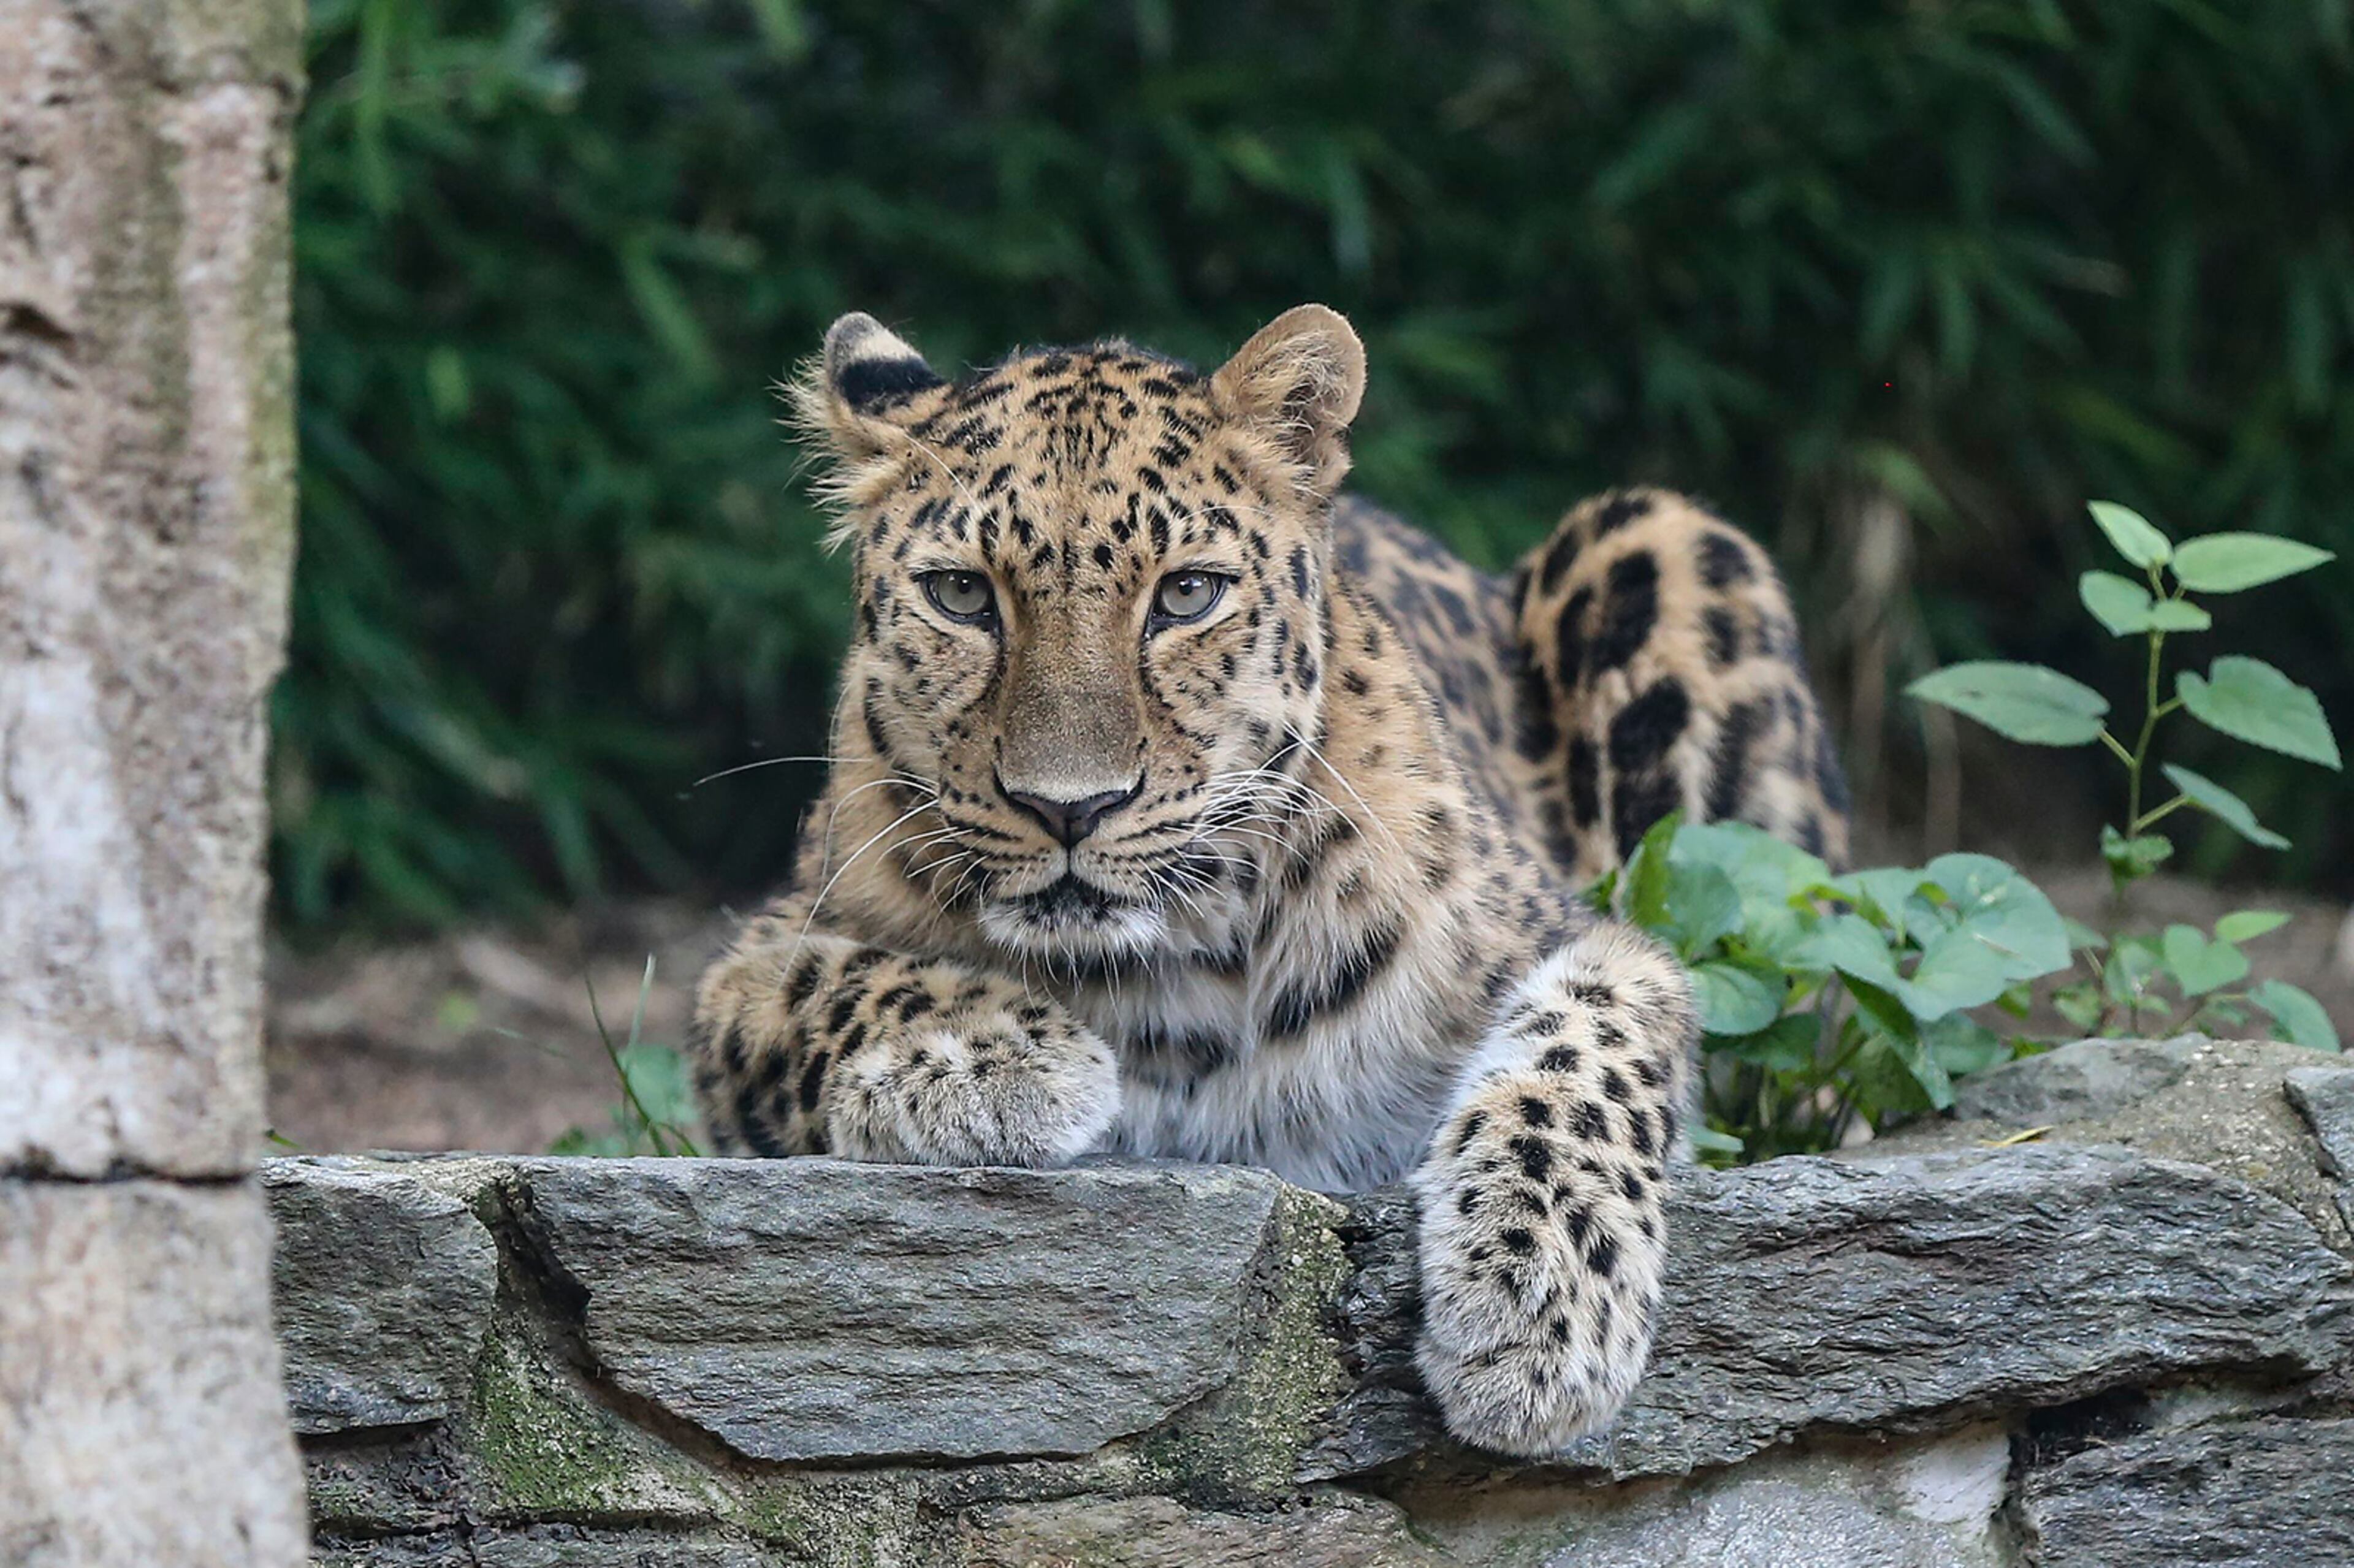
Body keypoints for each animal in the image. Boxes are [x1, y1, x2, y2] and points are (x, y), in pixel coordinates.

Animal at [691, 305, 1851, 1458]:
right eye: (963, 594)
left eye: (1186, 594)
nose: (1070, 806)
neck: (1168, 972)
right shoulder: (746, 966)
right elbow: (833, 984)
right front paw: (1006, 1056)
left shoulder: (1594, 936)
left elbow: (1589, 1043)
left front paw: (1540, 1302)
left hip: (1672, 546)